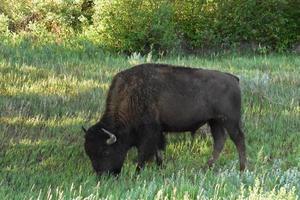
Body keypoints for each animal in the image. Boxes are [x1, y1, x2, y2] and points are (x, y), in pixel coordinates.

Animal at [82, 63, 246, 174]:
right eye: (89, 154)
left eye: (106, 152)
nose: (103, 176)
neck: (132, 96)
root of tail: (233, 78)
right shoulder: (157, 132)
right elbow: (158, 151)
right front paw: (160, 167)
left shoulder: (149, 132)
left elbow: (144, 154)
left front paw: (137, 172)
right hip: (215, 121)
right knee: (219, 141)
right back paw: (207, 167)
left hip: (229, 120)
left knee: (238, 139)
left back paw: (242, 169)